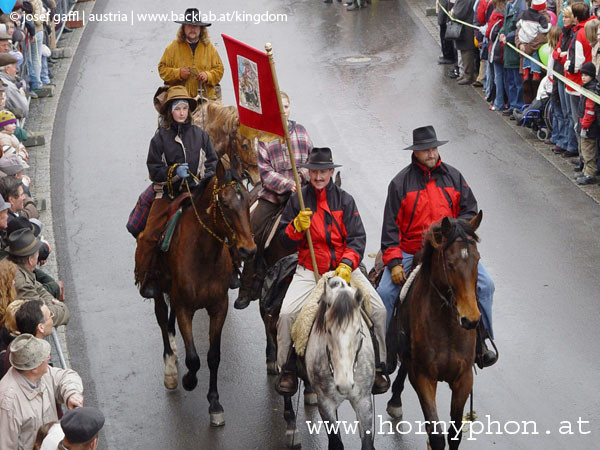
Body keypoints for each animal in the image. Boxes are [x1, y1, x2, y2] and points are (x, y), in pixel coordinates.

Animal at [151, 161, 256, 426]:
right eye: (225, 204)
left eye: (248, 201)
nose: (248, 250)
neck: (203, 256)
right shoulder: (186, 309)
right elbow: (194, 359)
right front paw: (188, 380)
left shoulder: (219, 307)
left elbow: (213, 356)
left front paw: (215, 403)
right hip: (157, 288)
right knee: (161, 317)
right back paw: (170, 366)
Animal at [304, 278, 376, 450]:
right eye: (328, 330)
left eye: (357, 331)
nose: (344, 385)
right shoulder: (325, 403)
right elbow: (336, 443)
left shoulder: (363, 400)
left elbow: (367, 443)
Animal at [386, 212, 486, 450]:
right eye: (450, 263)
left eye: (477, 259)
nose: (471, 319)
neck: (447, 328)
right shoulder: (424, 377)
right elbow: (437, 435)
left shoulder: (464, 379)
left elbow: (454, 434)